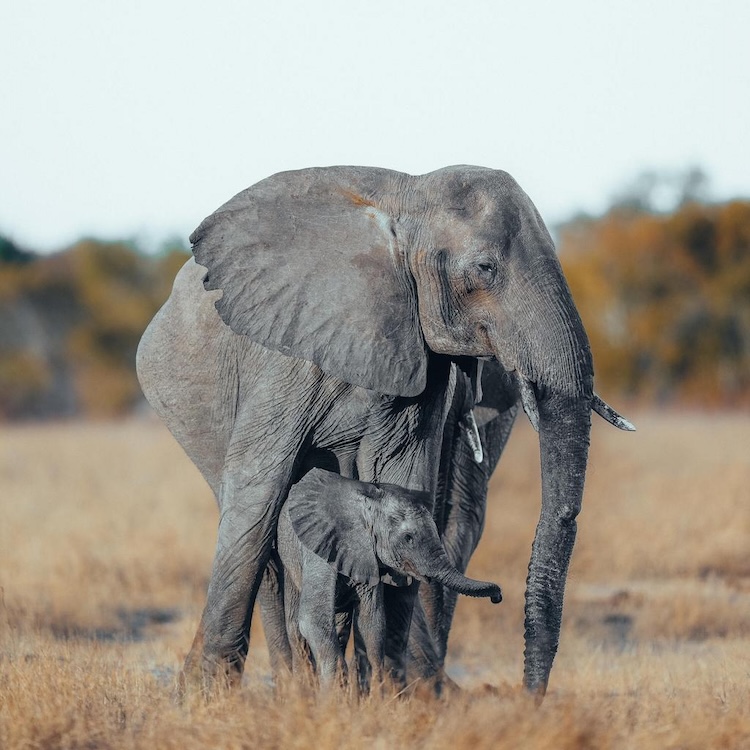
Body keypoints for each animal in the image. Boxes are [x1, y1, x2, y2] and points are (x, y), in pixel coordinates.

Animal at [277, 467, 502, 692]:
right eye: (408, 538)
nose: (498, 596)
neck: (366, 503)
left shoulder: (367, 558)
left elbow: (372, 622)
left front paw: (375, 691)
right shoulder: (321, 548)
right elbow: (312, 618)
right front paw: (336, 693)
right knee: (296, 627)